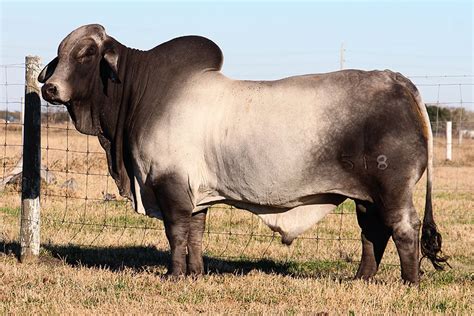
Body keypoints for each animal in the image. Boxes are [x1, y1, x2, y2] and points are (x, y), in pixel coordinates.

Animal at [39, 23, 446, 282]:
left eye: (87, 53)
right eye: (59, 54)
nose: (50, 89)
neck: (139, 93)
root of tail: (398, 80)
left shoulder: (169, 184)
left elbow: (176, 232)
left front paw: (173, 274)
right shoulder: (195, 192)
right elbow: (195, 232)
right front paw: (196, 273)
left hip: (392, 189)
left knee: (403, 228)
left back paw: (409, 282)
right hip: (365, 196)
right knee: (372, 232)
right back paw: (361, 278)